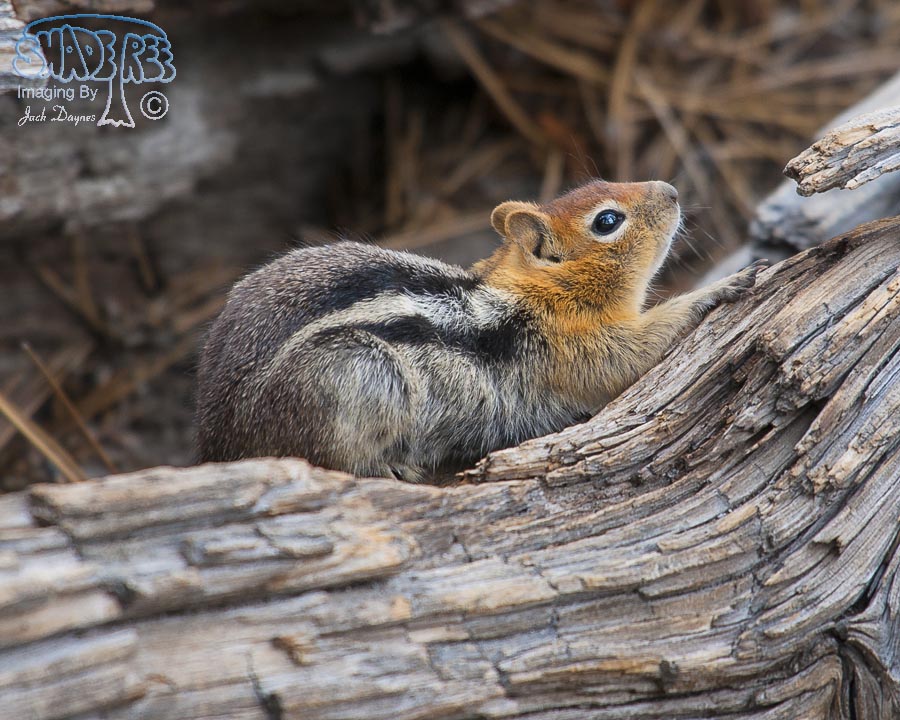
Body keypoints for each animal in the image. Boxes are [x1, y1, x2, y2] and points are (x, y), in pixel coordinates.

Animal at [196, 180, 765, 482]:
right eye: (607, 221)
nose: (671, 190)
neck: (535, 295)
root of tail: (214, 439)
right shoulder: (579, 351)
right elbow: (638, 348)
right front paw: (725, 285)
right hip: (358, 373)